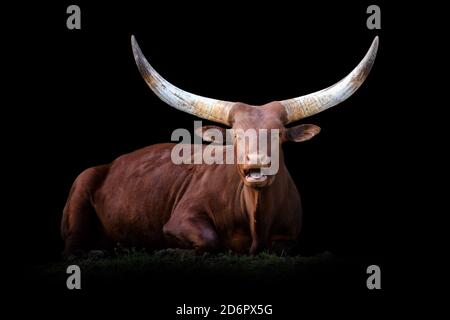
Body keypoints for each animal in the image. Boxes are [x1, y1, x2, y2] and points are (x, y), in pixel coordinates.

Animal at [61, 36, 378, 256]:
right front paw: (169, 249)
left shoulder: (290, 236)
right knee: (72, 247)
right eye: (235, 136)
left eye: (278, 135)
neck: (256, 217)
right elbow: (210, 240)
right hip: (81, 187)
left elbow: (286, 246)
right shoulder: (181, 219)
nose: (256, 164)